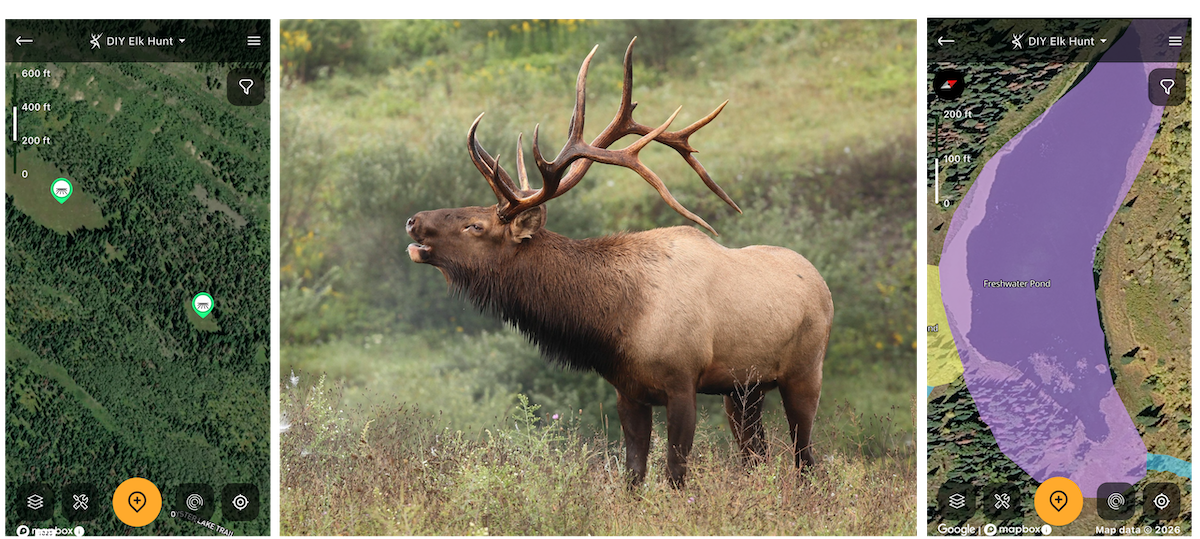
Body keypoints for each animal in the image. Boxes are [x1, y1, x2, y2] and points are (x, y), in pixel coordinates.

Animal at [405, 38, 833, 489]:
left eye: (475, 225)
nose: (413, 220)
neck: (617, 318)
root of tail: (822, 284)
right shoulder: (627, 389)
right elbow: (633, 475)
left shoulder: (683, 381)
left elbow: (675, 473)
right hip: (743, 391)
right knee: (757, 456)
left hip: (804, 372)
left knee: (805, 458)